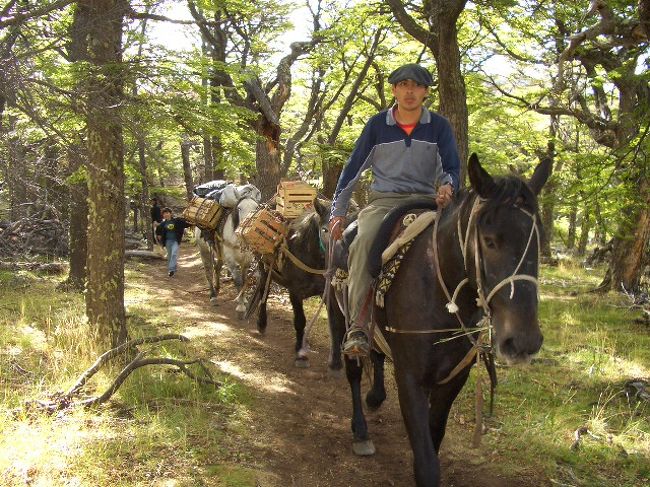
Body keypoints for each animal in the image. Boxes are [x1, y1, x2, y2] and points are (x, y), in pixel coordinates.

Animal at [327, 154, 551, 486]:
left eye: (539, 240)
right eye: (489, 241)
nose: (523, 341)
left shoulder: (453, 378)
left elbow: (434, 437)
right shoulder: (410, 379)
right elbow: (427, 464)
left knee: (377, 357)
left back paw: (376, 397)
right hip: (341, 318)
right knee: (354, 371)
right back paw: (361, 431)